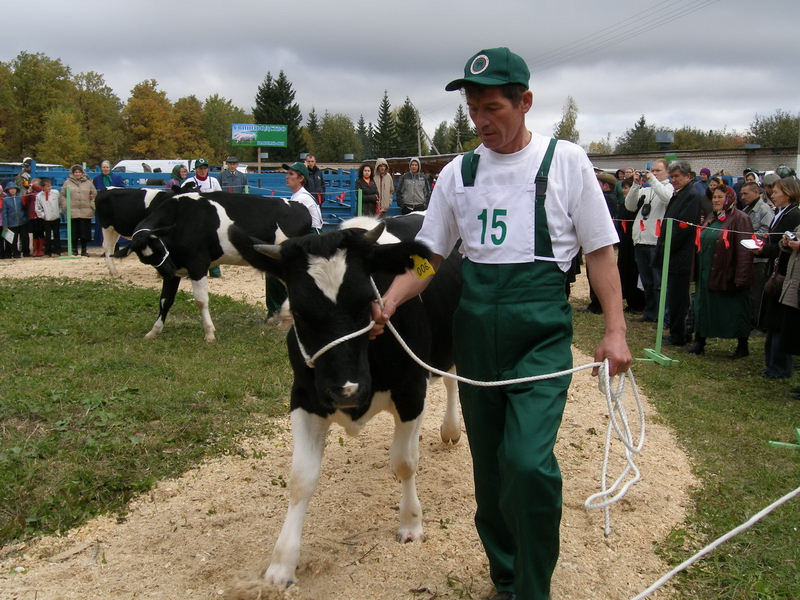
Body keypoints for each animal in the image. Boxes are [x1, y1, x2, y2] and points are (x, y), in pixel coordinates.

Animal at [113, 192, 312, 342]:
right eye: (145, 259)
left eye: (160, 247)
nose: (168, 271)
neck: (181, 219)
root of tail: (300, 207)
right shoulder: (176, 268)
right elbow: (165, 300)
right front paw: (154, 331)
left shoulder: (198, 264)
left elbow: (200, 300)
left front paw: (209, 333)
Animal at [227, 214, 462, 584]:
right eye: (300, 312)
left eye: (366, 303)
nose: (345, 391)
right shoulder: (304, 397)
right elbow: (301, 479)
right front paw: (282, 563)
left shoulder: (412, 391)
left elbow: (405, 462)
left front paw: (410, 523)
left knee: (453, 378)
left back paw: (451, 428)